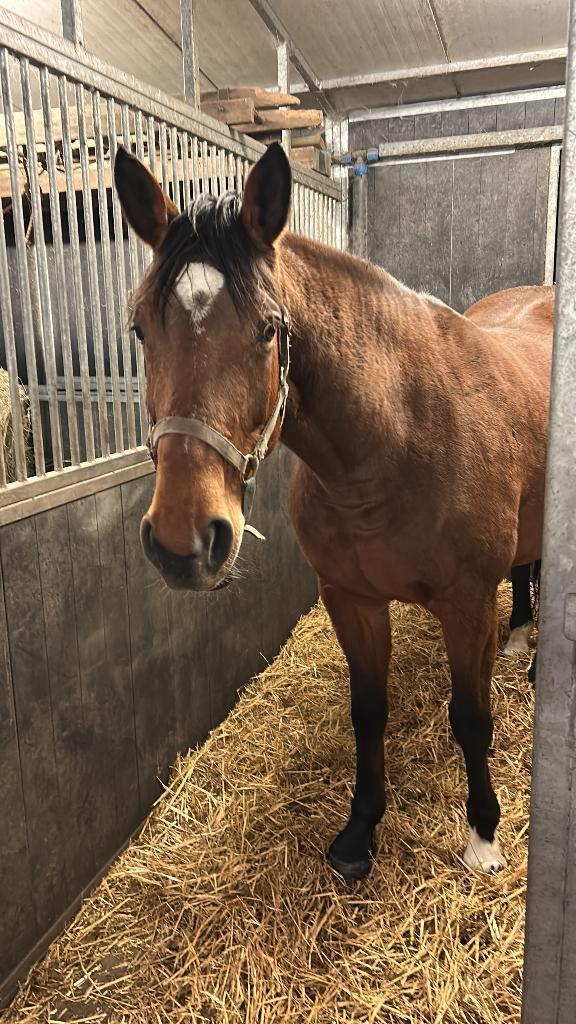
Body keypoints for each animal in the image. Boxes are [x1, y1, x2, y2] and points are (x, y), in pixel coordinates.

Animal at [114, 142, 553, 881]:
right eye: (141, 328)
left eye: (268, 329)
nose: (183, 542)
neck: (396, 442)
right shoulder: (351, 598)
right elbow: (368, 711)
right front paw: (359, 831)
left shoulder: (466, 605)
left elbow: (471, 716)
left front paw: (483, 836)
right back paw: (520, 631)